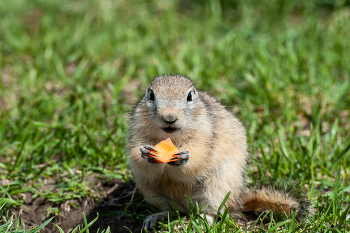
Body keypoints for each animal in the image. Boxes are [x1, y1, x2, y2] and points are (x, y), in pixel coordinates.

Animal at [127, 75, 310, 230]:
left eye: (189, 96)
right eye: (151, 95)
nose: (169, 117)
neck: (172, 138)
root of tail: (238, 198)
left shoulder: (206, 134)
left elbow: (199, 156)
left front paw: (185, 157)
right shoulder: (137, 131)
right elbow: (136, 153)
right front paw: (145, 153)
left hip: (217, 187)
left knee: (214, 211)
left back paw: (203, 220)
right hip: (152, 191)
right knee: (172, 210)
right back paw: (156, 217)